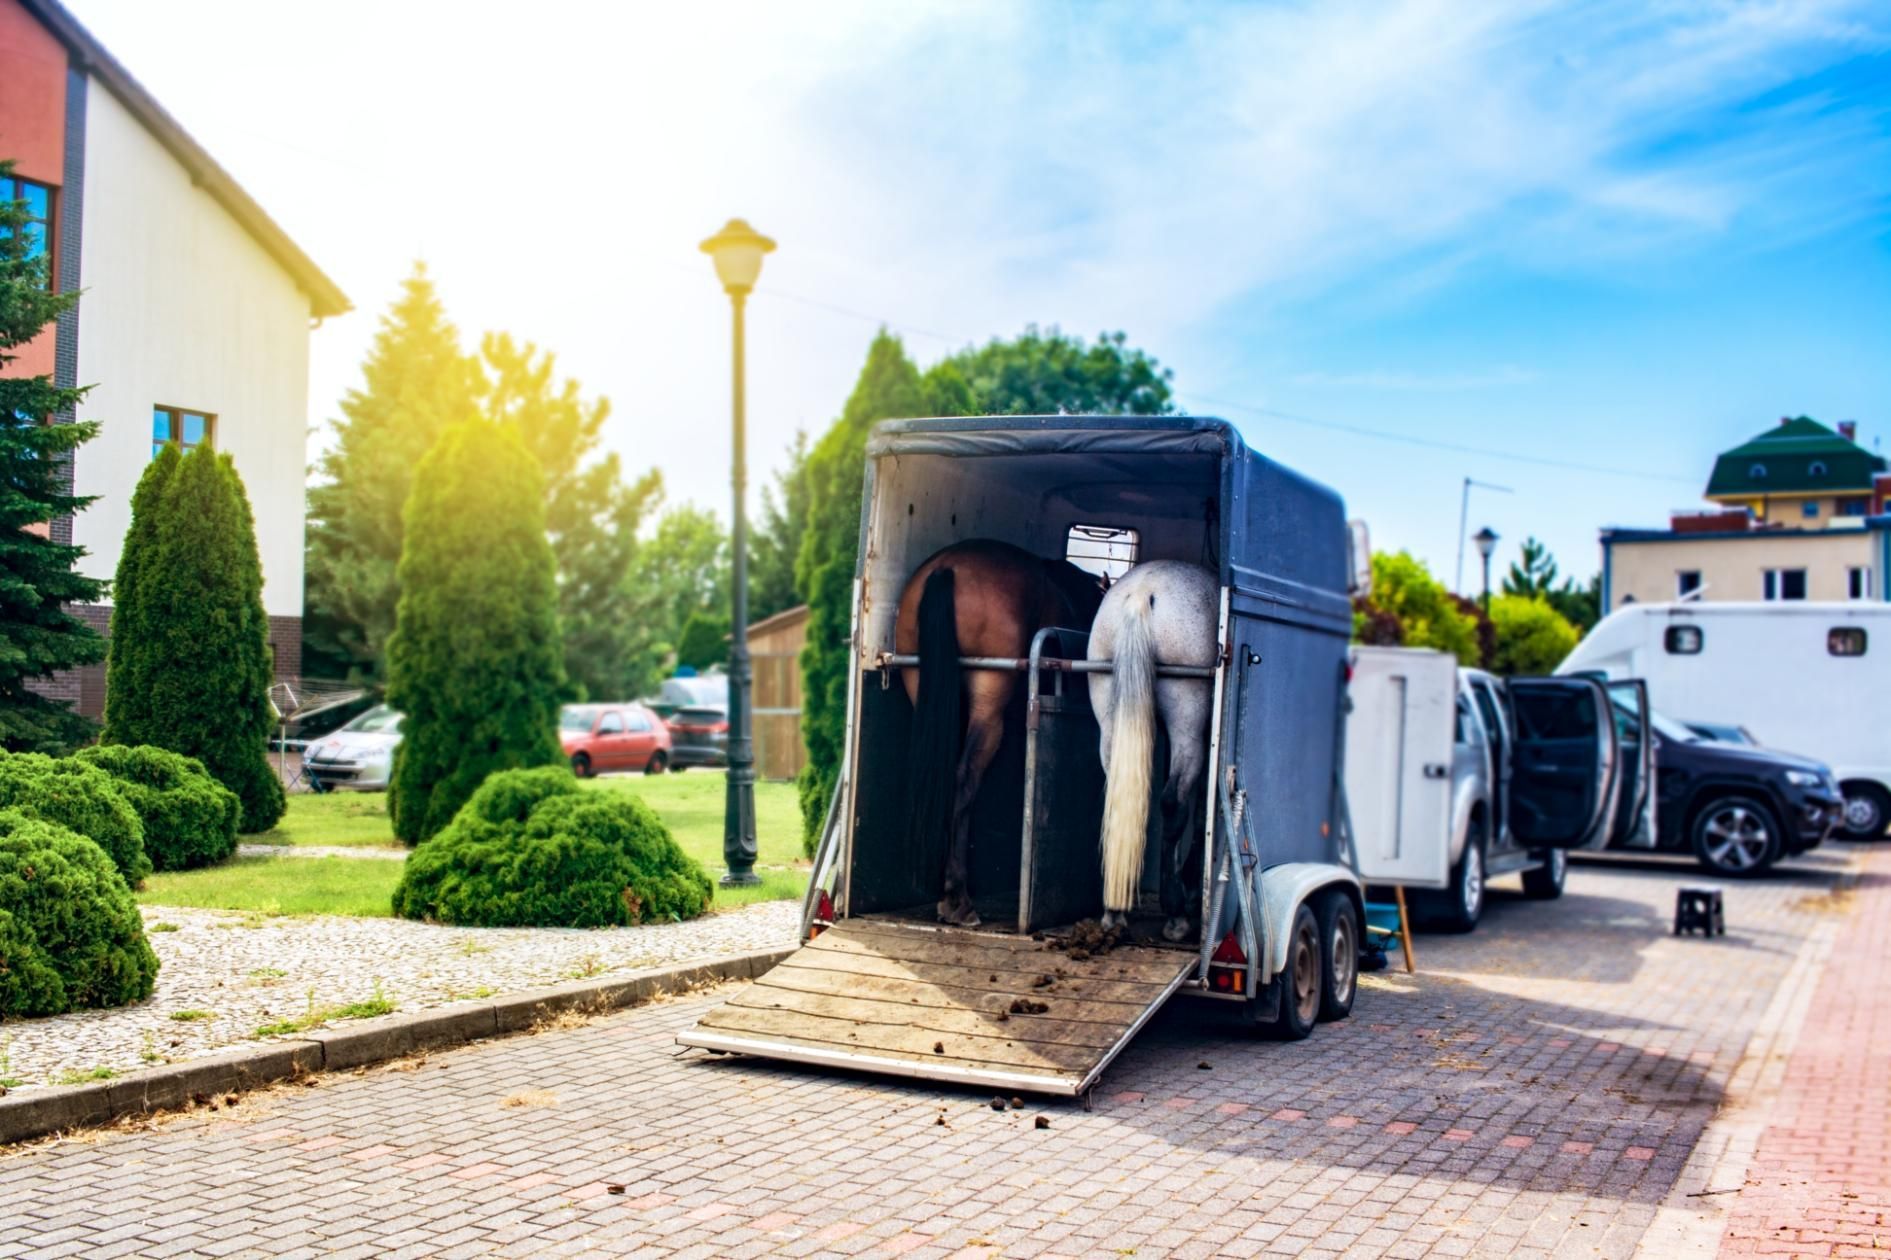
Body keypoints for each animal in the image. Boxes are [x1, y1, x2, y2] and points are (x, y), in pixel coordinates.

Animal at [1089, 563, 1217, 938]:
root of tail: (1142, 593)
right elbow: (1200, 806)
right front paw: (1190, 886)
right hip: (1187, 719)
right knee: (1173, 803)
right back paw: (1176, 915)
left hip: (1109, 716)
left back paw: (1114, 912)